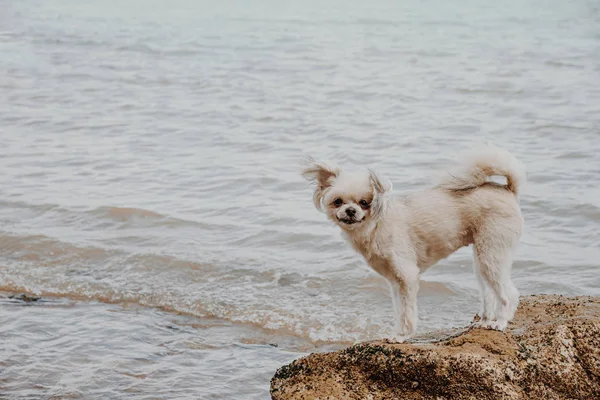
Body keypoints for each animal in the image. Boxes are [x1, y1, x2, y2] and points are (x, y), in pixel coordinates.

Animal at [302, 145, 524, 342]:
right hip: (482, 258)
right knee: (489, 291)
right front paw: (398, 332)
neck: (377, 224)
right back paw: (485, 320)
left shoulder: (406, 276)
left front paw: (401, 336)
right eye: (338, 201)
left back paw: (500, 322)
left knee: (509, 293)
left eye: (364, 203)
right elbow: (400, 310)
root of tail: (508, 189)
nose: (350, 211)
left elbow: (407, 312)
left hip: (492, 254)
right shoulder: (395, 282)